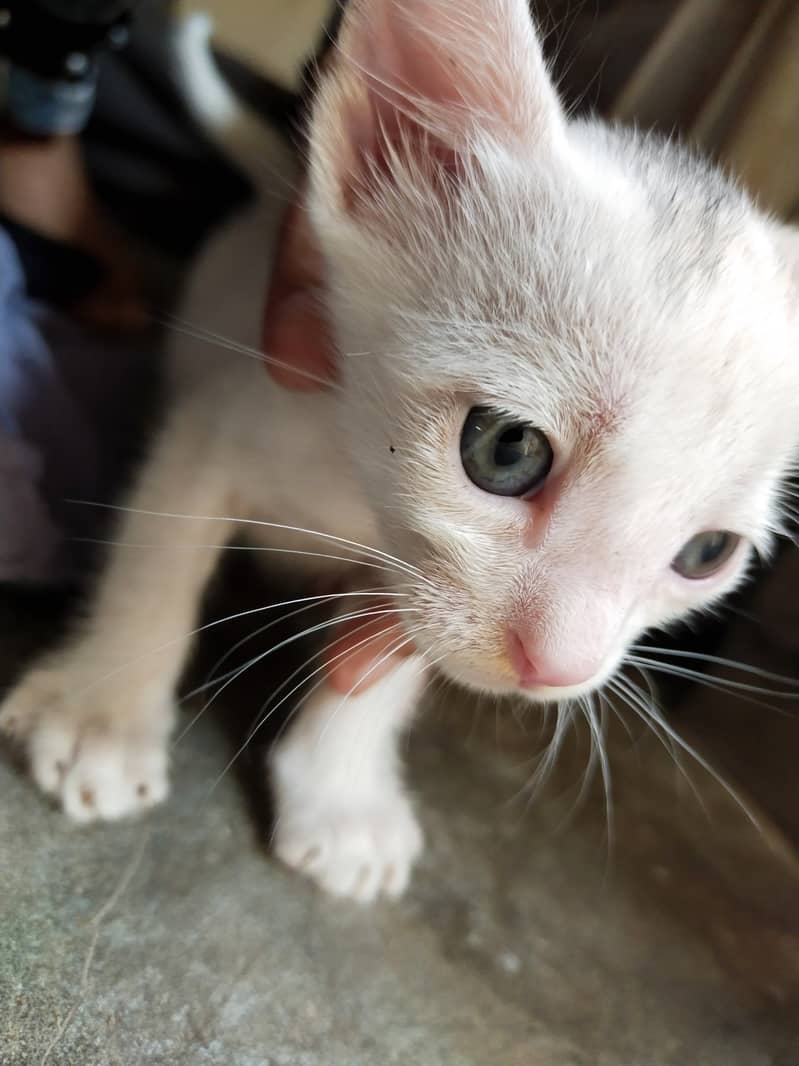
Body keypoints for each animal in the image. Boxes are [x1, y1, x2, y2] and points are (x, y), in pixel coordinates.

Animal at [1, 0, 799, 903]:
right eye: (506, 449)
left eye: (706, 553)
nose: (555, 667)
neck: (357, 497)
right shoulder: (228, 417)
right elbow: (155, 565)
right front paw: (99, 714)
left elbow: (395, 652)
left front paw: (340, 798)